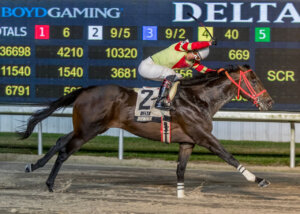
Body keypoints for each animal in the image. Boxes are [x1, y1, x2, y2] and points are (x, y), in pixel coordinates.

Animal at [19, 64, 274, 198]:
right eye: (255, 80)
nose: (269, 102)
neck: (198, 99)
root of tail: (85, 90)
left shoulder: (188, 142)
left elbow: (180, 169)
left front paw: (181, 195)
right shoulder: (203, 136)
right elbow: (228, 155)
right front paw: (258, 179)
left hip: (85, 128)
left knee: (60, 141)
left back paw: (33, 166)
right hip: (88, 130)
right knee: (64, 151)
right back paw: (50, 184)